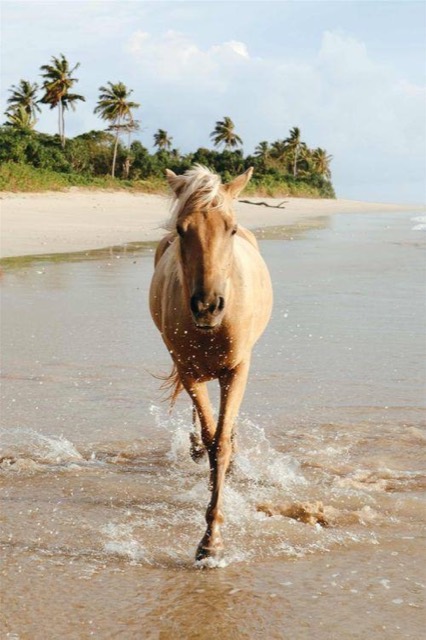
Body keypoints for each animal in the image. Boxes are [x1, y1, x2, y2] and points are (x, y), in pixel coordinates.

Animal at [149, 165, 273, 561]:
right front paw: (209, 540)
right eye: (181, 229)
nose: (207, 306)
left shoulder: (237, 370)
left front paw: (212, 539)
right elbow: (210, 437)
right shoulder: (188, 370)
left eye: (230, 228)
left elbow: (221, 443)